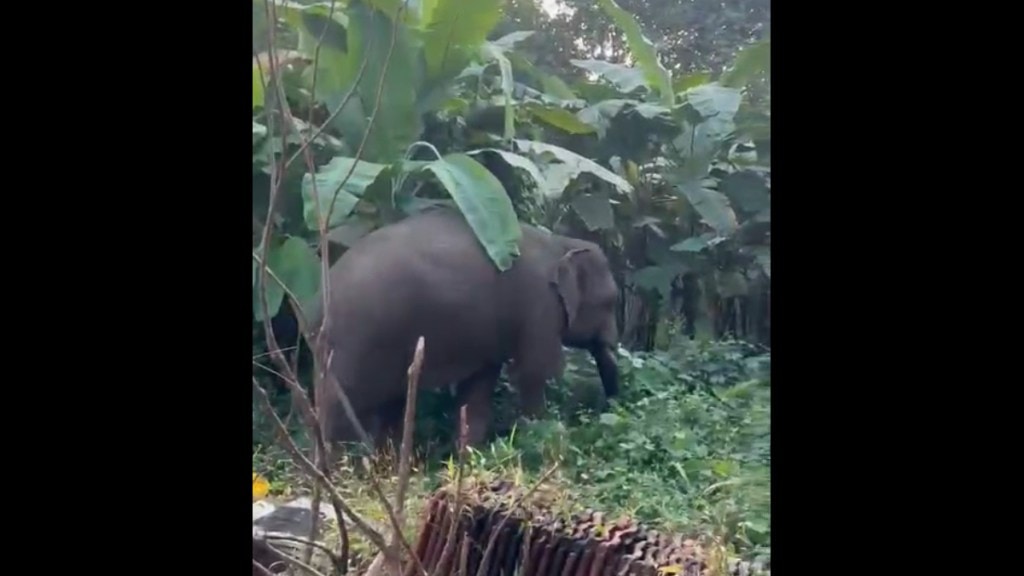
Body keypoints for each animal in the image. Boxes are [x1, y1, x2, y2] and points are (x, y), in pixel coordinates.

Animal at [306, 207, 620, 453]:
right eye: (611, 301)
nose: (611, 409)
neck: (560, 243)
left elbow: (478, 387)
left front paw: (470, 457)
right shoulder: (539, 306)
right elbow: (534, 371)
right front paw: (546, 435)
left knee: (389, 404)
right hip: (355, 341)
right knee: (341, 407)